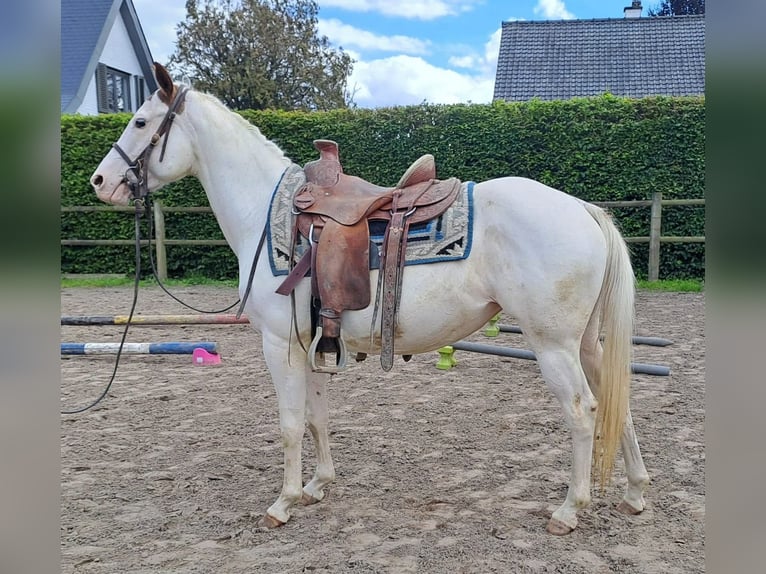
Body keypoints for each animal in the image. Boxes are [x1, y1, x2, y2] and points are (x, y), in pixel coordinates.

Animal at [90, 63, 649, 535]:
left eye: (141, 121)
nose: (100, 181)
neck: (265, 213)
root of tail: (582, 208)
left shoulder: (279, 346)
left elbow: (289, 424)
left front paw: (283, 502)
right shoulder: (311, 342)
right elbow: (316, 417)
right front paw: (317, 486)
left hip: (553, 345)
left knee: (583, 411)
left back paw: (569, 510)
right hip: (586, 344)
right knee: (616, 400)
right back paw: (636, 493)